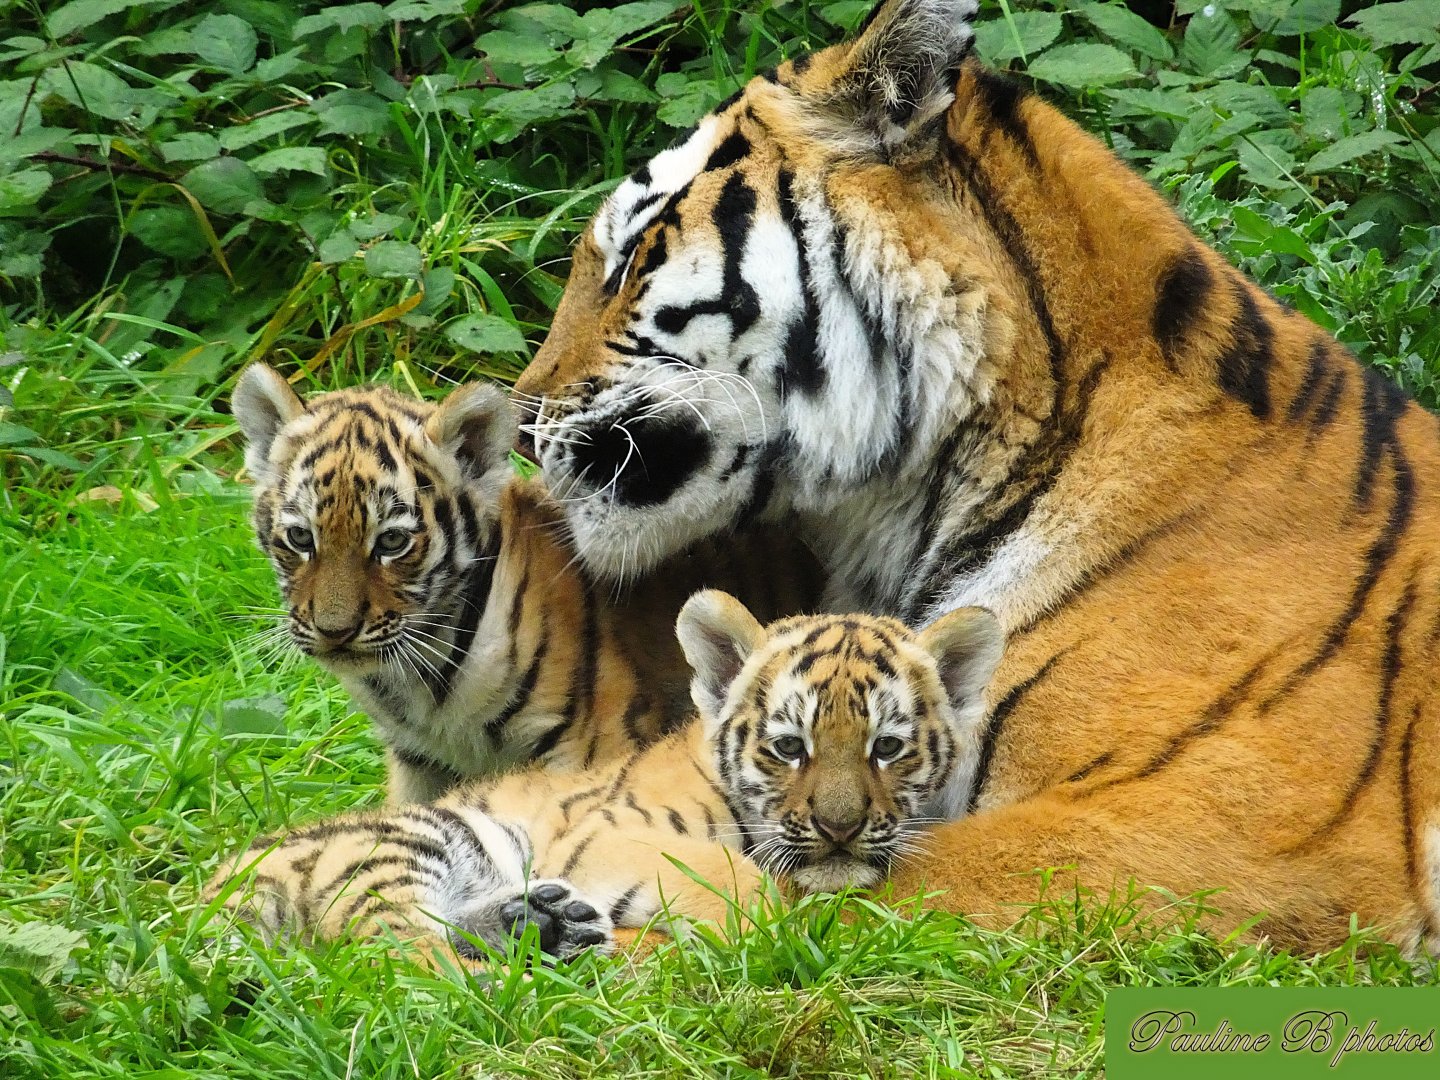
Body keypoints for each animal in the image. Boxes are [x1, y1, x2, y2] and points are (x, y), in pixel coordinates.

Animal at [206, 593, 1004, 961]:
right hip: (394, 849)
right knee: (406, 965)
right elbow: (727, 875)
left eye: (887, 747)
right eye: (788, 747)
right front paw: (768, 931)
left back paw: (546, 925)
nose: (840, 830)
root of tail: (202, 897)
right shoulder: (606, 830)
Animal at [230, 363, 821, 805]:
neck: (418, 688)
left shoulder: (596, 742)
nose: (335, 631)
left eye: (393, 542)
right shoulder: (418, 761)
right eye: (300, 538)